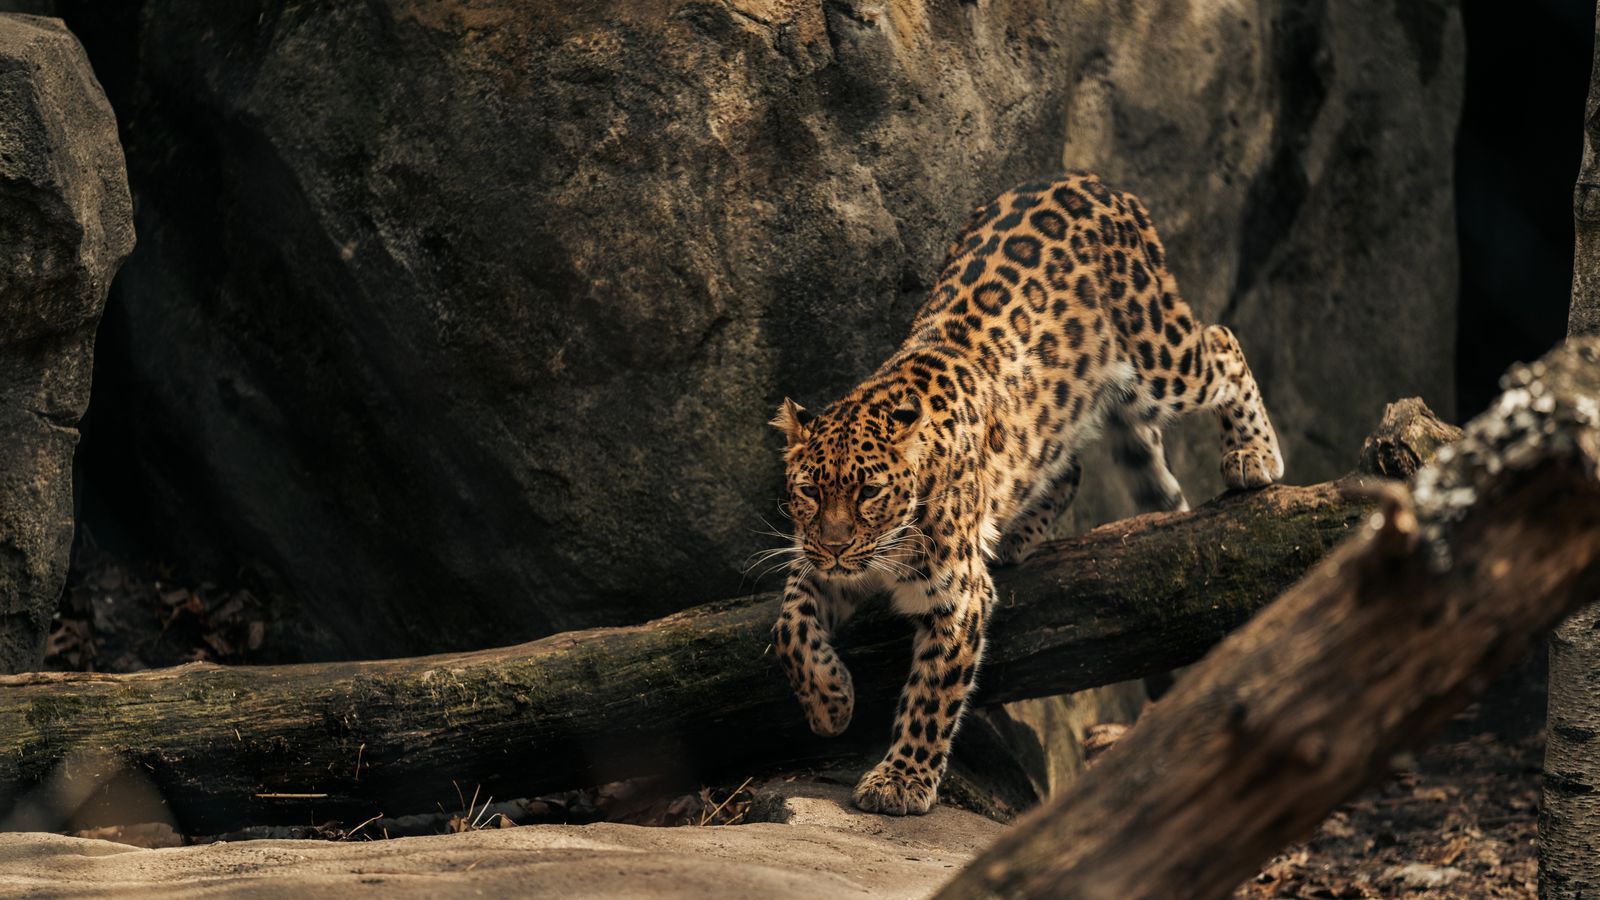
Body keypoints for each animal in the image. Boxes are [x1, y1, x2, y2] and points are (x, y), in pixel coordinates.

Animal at [767, 172, 1284, 815]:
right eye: (809, 490)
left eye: (869, 492)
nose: (836, 547)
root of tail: (1092, 182)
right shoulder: (818, 564)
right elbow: (790, 625)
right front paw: (831, 703)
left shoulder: (959, 596)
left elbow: (932, 695)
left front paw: (901, 780)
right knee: (1069, 468)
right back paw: (1016, 534)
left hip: (1158, 354)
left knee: (1222, 342)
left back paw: (1254, 454)